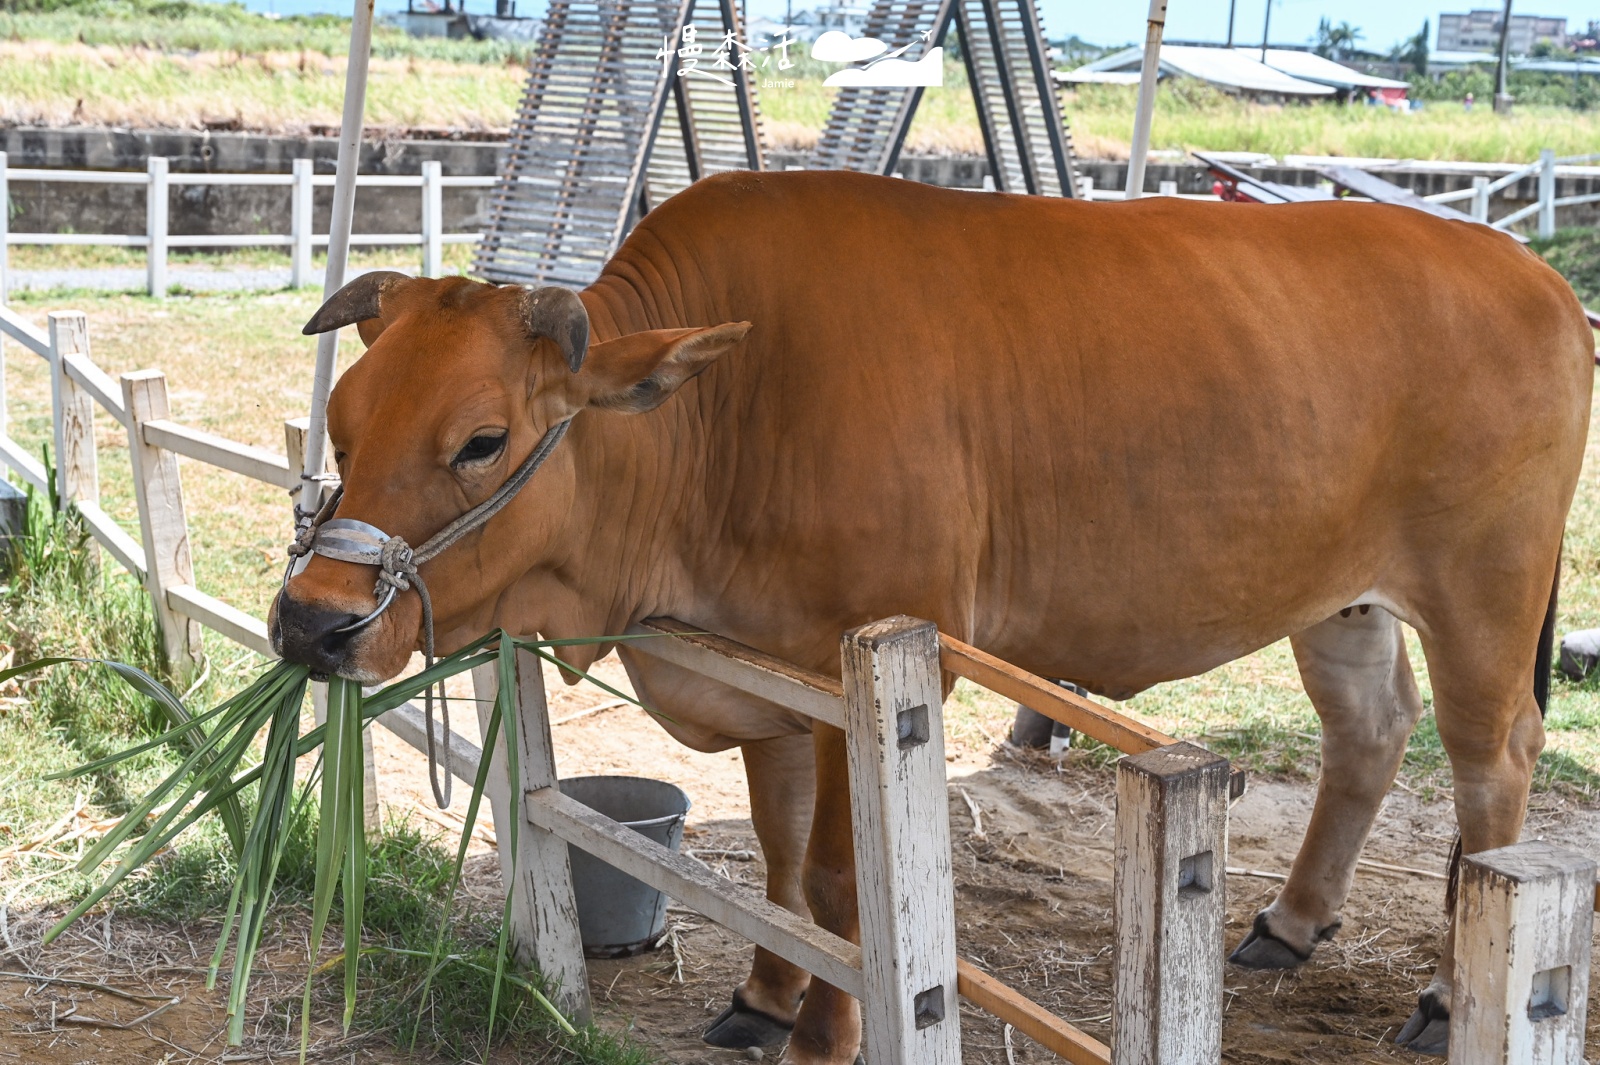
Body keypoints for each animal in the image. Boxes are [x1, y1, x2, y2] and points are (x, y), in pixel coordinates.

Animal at [268, 170, 1593, 1055]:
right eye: (344, 421)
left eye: (482, 440)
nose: (311, 624)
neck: (731, 415)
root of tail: (1526, 268)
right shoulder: (763, 676)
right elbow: (782, 864)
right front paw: (762, 999)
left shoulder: (877, 663)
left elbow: (842, 889)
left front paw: (825, 1034)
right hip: (1341, 596)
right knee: (1367, 728)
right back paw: (1290, 921)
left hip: (1482, 587)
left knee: (1490, 763)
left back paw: (1443, 994)